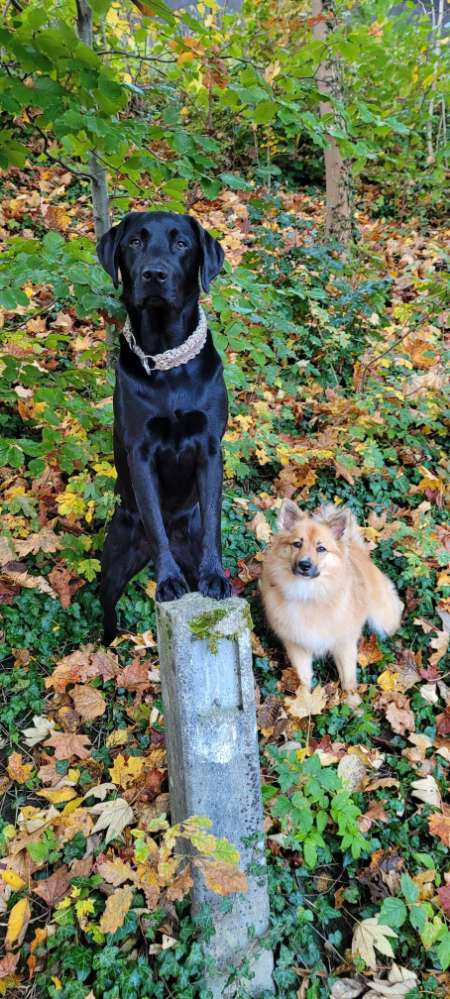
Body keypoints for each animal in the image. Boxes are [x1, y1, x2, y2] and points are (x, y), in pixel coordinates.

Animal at [98, 214, 232, 644]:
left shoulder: (210, 448)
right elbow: (155, 523)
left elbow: (213, 521)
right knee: (107, 608)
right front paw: (170, 580)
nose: (154, 274)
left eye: (181, 244)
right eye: (136, 242)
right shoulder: (141, 453)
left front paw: (213, 576)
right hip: (115, 560)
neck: (168, 359)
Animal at [260, 500, 404, 696]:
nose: (304, 564)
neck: (309, 594)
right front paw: (305, 700)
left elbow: (348, 681)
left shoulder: (344, 644)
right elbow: (303, 679)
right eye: (297, 544)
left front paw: (353, 701)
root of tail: (358, 551)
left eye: (321, 548)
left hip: (384, 621)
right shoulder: (297, 646)